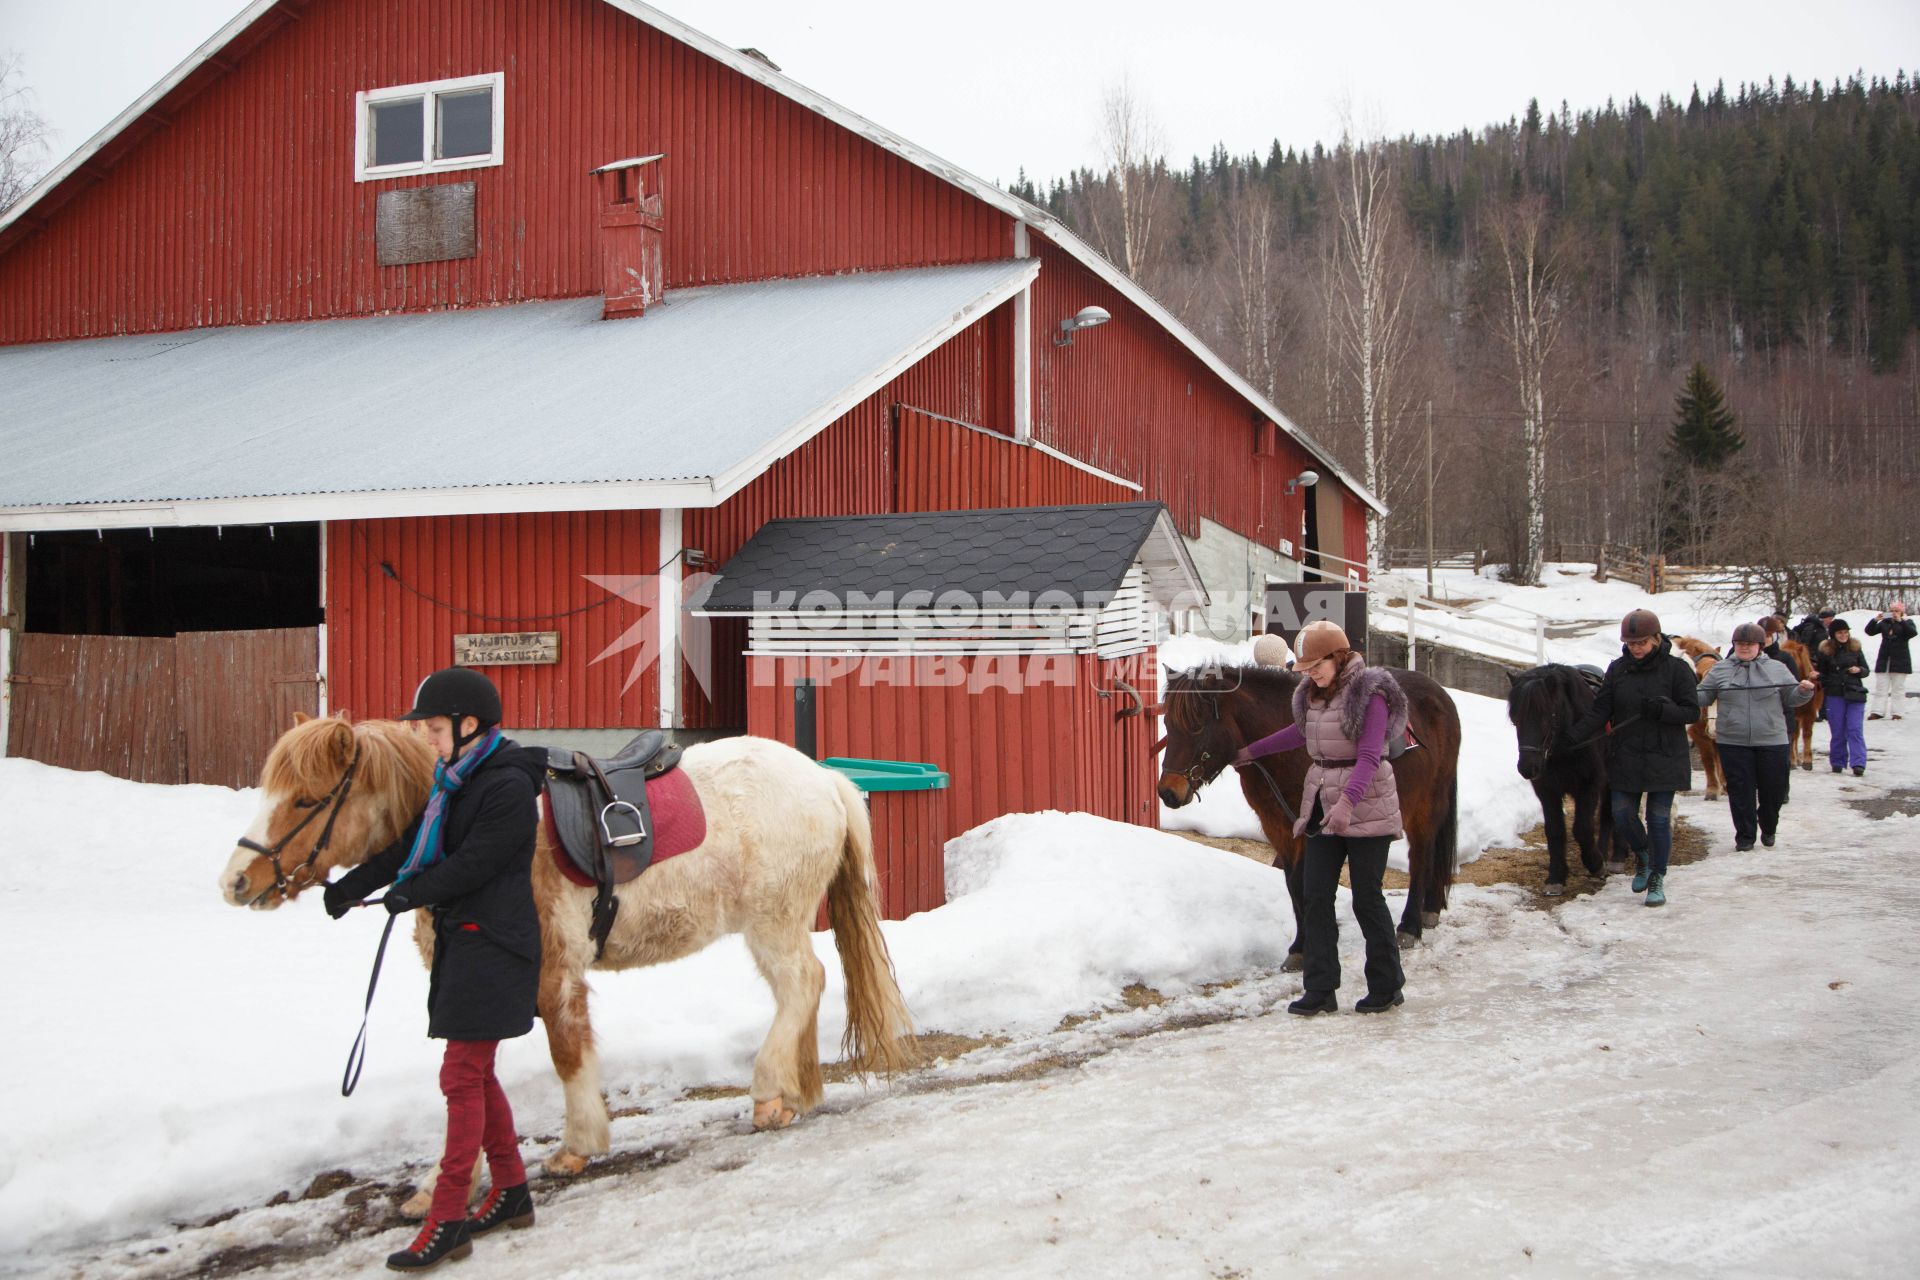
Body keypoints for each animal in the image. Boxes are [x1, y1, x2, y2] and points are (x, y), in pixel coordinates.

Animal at [222, 717, 913, 1220]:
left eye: (306, 800)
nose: (236, 882)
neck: (468, 825)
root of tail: (824, 780)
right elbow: (472, 1082)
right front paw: (443, 1184)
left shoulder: (554, 972)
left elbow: (567, 1052)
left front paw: (578, 1146)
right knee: (802, 989)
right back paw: (799, 1090)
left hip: (773, 922)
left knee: (802, 983)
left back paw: (771, 1092)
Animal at [1152, 667, 1451, 955]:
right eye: (1167, 724)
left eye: (1196, 726)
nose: (1167, 792)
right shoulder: (1278, 826)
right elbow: (1293, 883)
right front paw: (1299, 946)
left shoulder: (1308, 826)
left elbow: (1304, 881)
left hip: (1425, 809)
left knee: (1420, 858)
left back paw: (1410, 926)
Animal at [1505, 667, 1628, 898]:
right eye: (1515, 719)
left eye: (1547, 716)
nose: (1527, 767)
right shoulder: (1547, 790)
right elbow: (1554, 831)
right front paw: (1556, 877)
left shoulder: (1589, 785)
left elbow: (1582, 828)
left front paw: (1595, 864)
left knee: (1612, 813)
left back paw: (1617, 855)